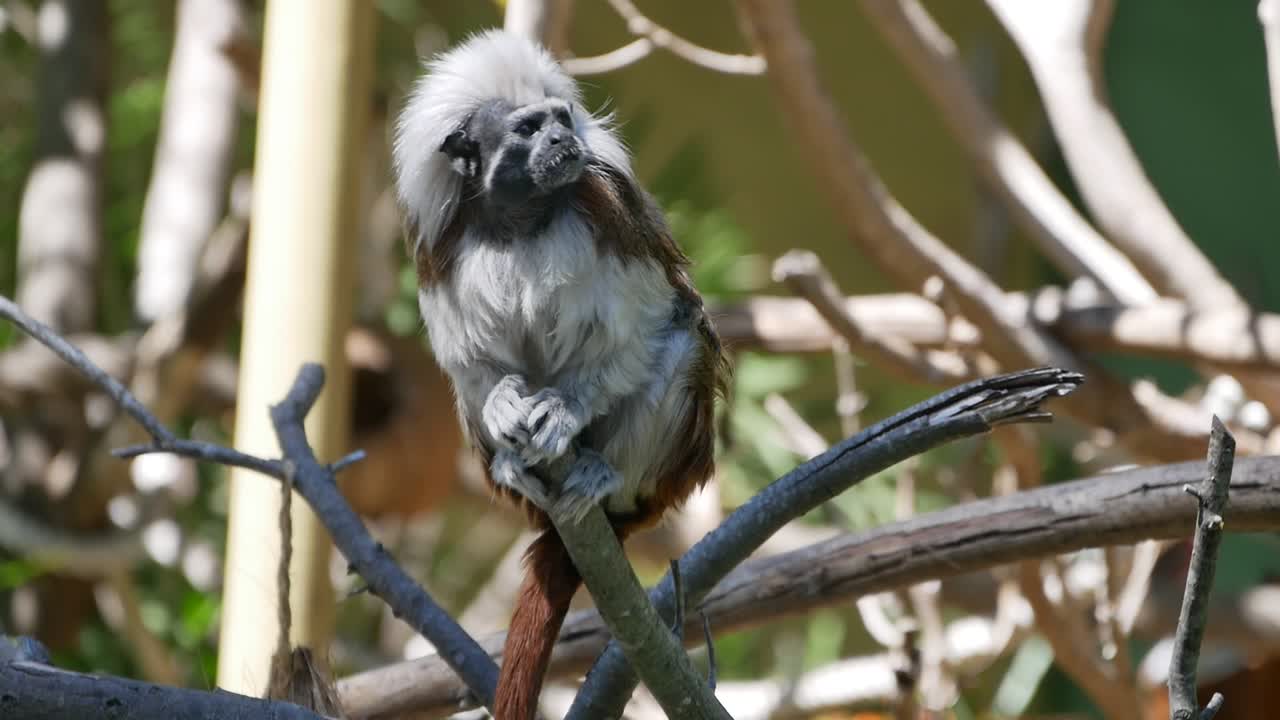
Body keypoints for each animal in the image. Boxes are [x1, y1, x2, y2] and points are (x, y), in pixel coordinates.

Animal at [392, 30, 730, 720]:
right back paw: (511, 464)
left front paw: (565, 412)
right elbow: (468, 361)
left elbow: (647, 324)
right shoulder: (445, 248)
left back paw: (604, 474)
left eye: (560, 119)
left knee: (683, 342)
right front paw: (503, 404)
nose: (560, 141)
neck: (520, 221)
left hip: (671, 469)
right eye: (528, 128)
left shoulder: (607, 215)